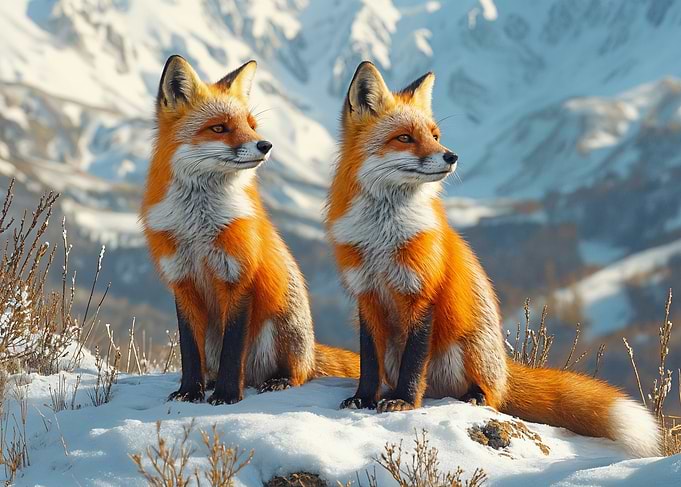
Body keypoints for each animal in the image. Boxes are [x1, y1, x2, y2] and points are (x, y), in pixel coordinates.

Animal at [141, 55, 359, 405]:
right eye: (219, 128)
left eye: (251, 126)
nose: (266, 145)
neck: (198, 226)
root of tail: (311, 352)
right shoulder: (182, 282)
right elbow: (189, 352)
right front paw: (190, 391)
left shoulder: (239, 277)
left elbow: (233, 351)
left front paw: (228, 395)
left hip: (278, 326)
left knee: (298, 374)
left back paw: (277, 381)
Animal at [325, 61, 660, 457]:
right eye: (405, 138)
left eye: (435, 135)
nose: (451, 156)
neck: (382, 237)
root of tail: (504, 368)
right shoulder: (366, 294)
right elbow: (368, 361)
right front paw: (363, 399)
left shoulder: (422, 293)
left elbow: (414, 363)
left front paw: (404, 401)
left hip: (465, 346)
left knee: (488, 395)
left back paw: (473, 396)